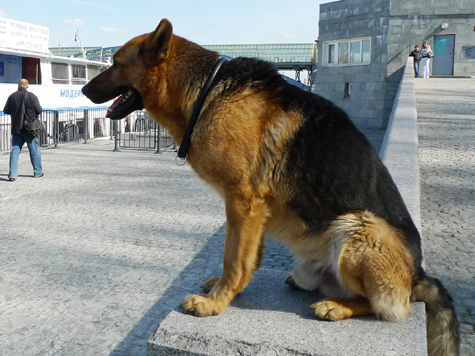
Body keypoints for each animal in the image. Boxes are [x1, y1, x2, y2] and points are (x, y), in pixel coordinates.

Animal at [82, 19, 462, 356]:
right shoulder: (251, 210)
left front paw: (216, 303)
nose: (84, 90)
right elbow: (245, 256)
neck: (207, 92)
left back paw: (337, 307)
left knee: (388, 306)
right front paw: (227, 291)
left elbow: (234, 258)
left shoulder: (243, 202)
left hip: (357, 226)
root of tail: (418, 275)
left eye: (115, 62)